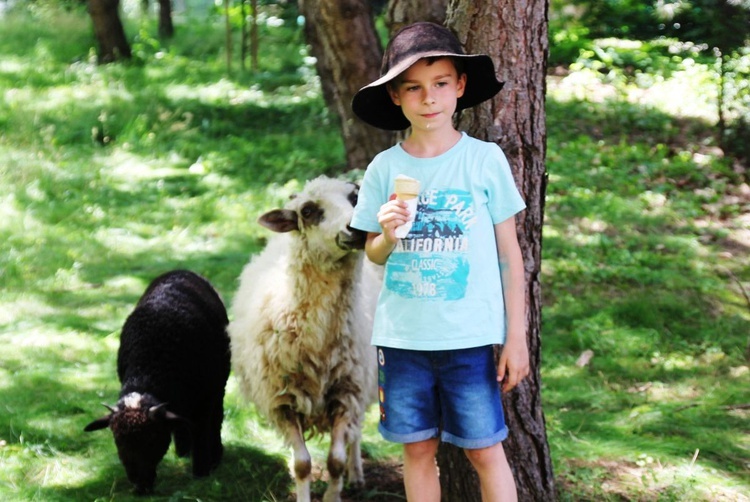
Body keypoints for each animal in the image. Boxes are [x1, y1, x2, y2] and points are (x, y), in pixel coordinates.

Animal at [84, 270, 229, 494]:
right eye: (117, 440)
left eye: (152, 438)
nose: (140, 487)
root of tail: (180, 271)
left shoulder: (205, 399)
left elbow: (202, 431)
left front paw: (202, 472)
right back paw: (183, 450)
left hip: (218, 386)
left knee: (216, 419)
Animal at [228, 176, 382, 502]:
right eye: (308, 211)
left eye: (355, 197)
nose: (357, 228)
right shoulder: (282, 402)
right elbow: (302, 465)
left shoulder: (346, 393)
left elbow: (335, 462)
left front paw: (334, 493)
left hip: (365, 380)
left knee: (356, 433)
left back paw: (356, 475)